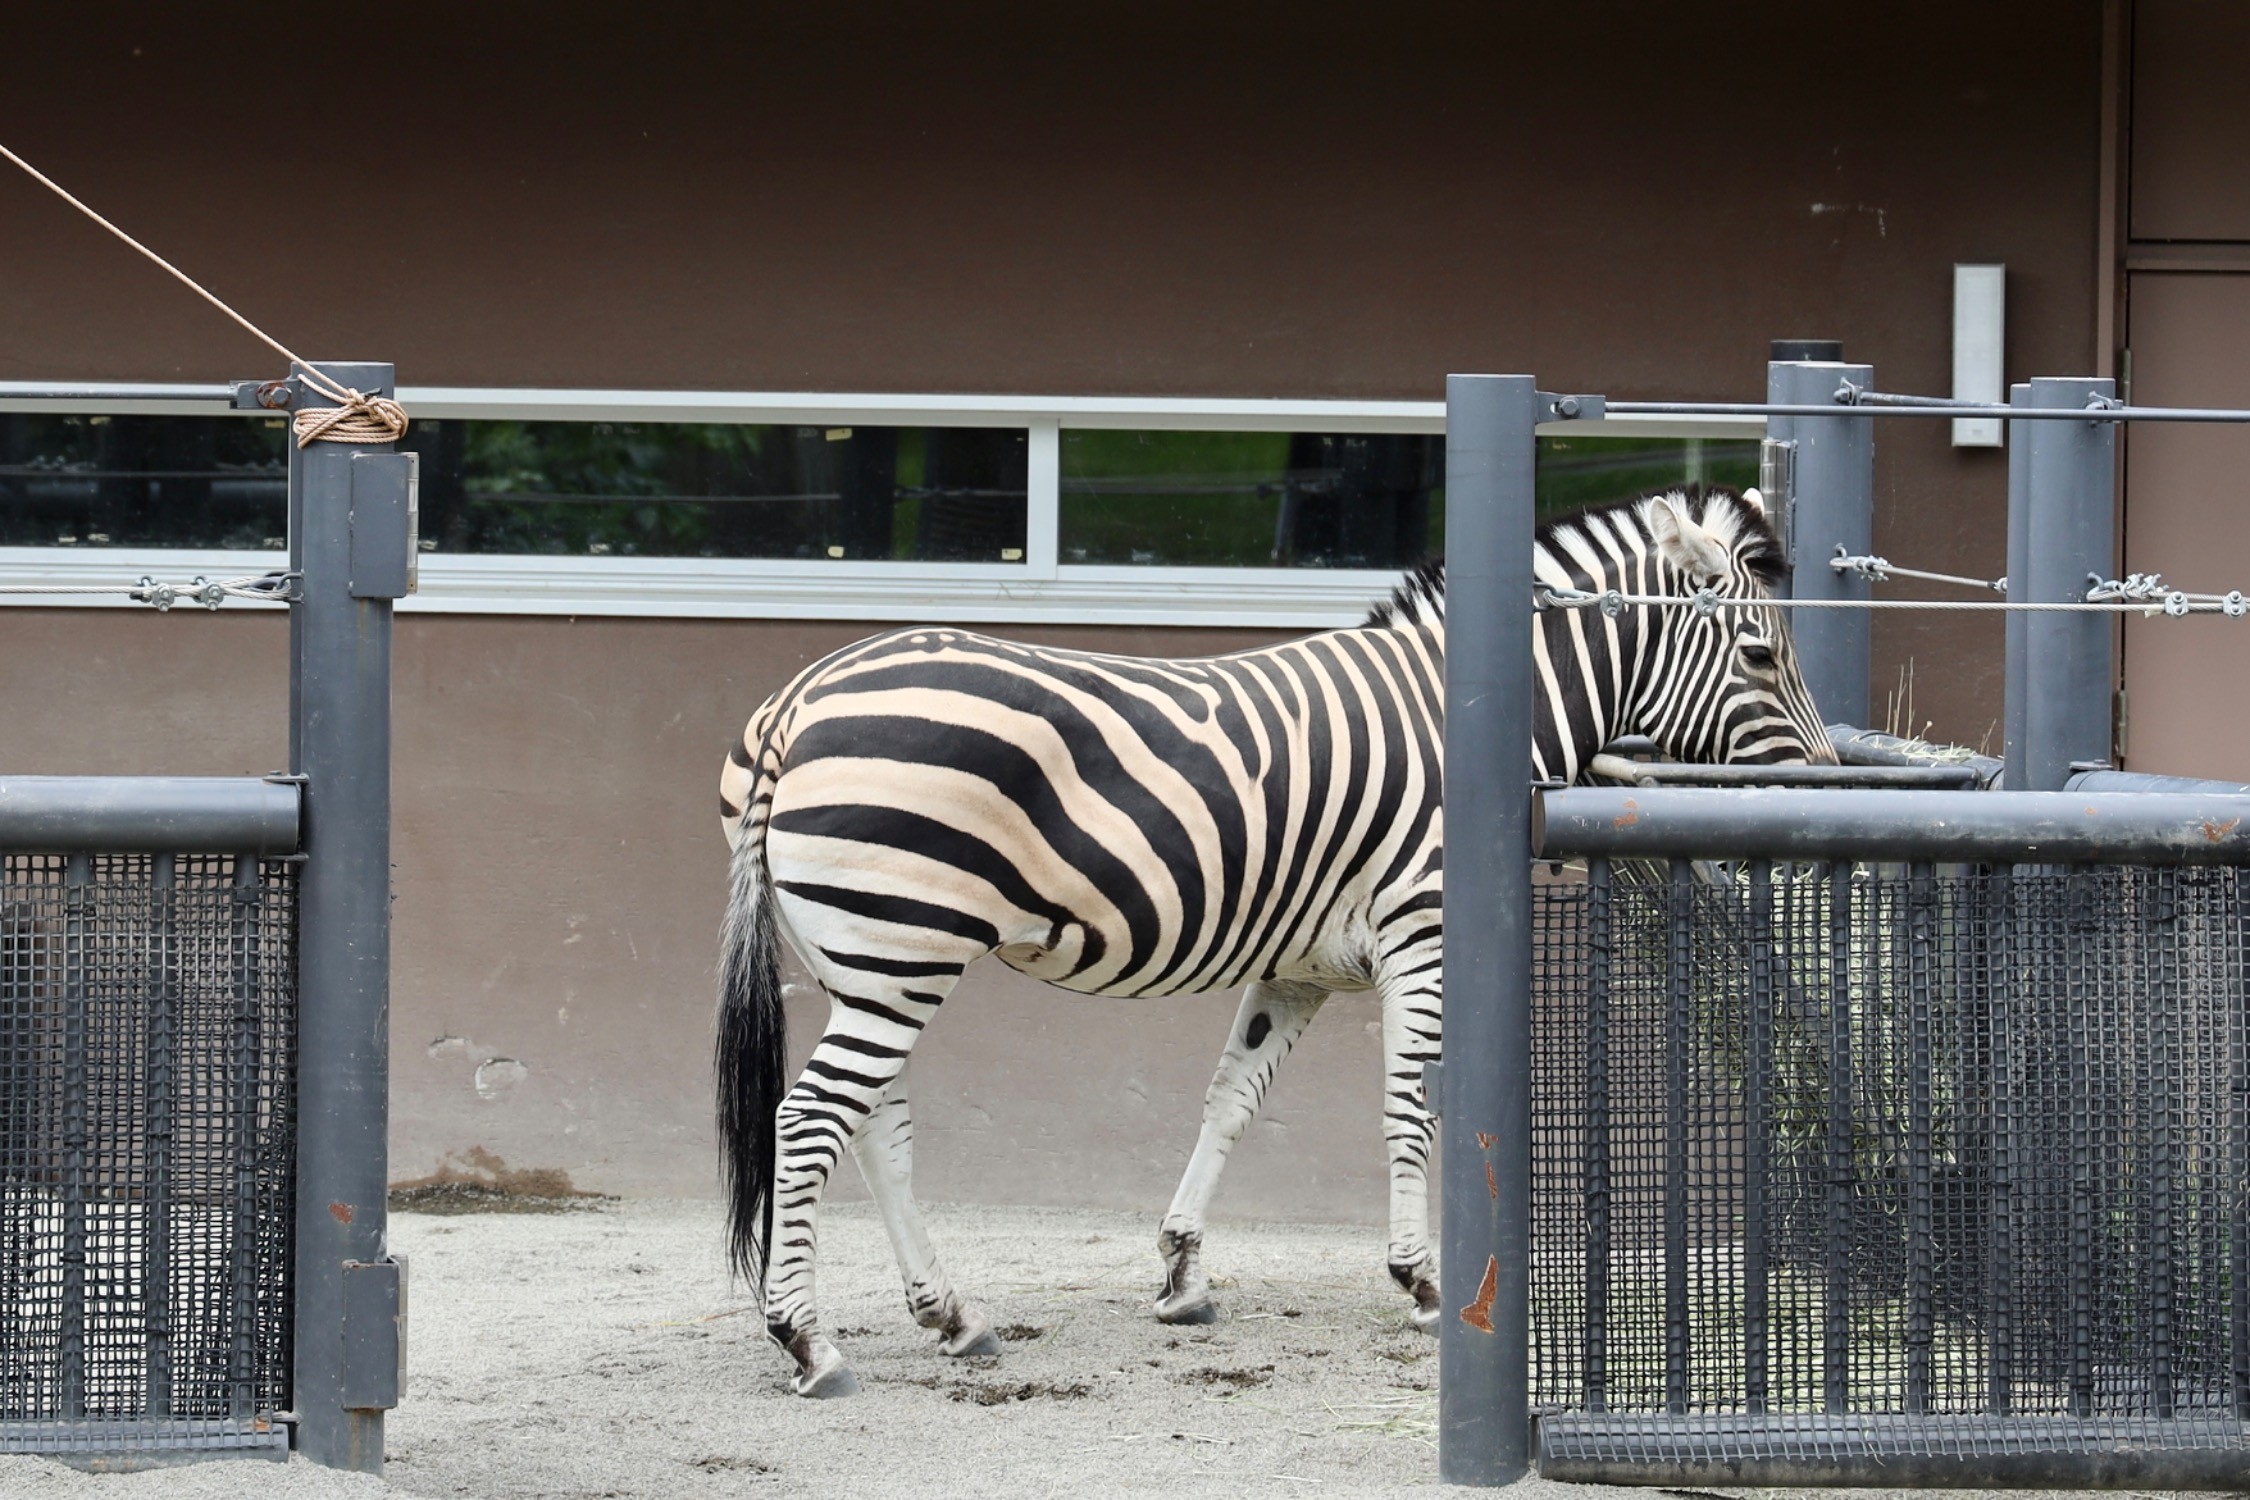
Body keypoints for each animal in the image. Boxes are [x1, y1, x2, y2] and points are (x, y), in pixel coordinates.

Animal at [711, 481, 1836, 1394]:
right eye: (1759, 654)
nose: (1829, 791)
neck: (1473, 715)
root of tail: (800, 701)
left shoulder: (1297, 971)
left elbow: (1231, 1102)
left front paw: (1181, 1273)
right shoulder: (1423, 933)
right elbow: (1410, 1109)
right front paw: (1424, 1283)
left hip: (867, 962)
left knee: (875, 1127)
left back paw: (951, 1315)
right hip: (900, 951)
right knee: (811, 1120)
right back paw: (808, 1342)